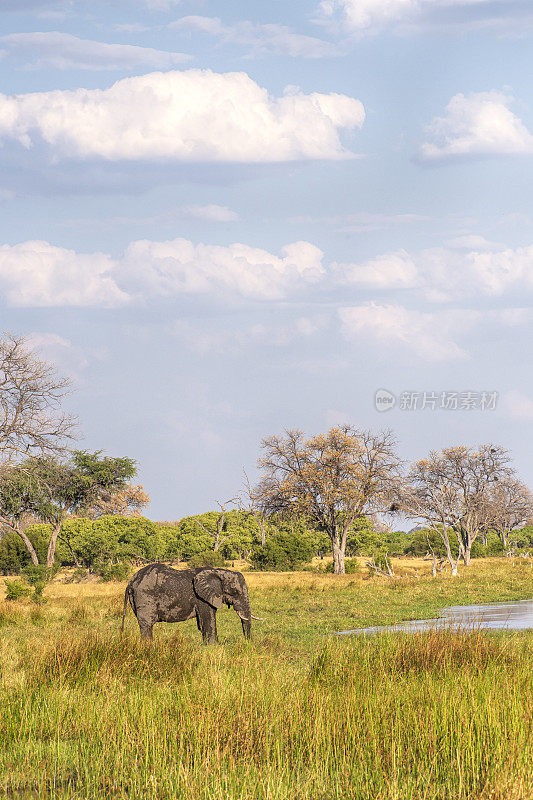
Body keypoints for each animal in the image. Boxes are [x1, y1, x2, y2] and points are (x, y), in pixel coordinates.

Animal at [121, 564, 262, 644]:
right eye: (235, 592)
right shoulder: (202, 598)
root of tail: (131, 581)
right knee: (147, 624)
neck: (218, 572)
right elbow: (208, 619)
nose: (248, 643)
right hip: (145, 595)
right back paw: (149, 646)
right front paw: (214, 646)